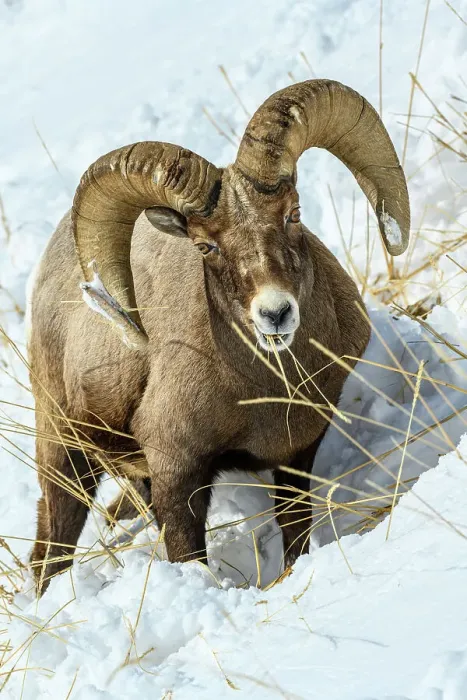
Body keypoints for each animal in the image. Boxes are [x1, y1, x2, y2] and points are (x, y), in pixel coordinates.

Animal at [28, 79, 410, 593]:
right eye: (205, 245)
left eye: (294, 213)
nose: (275, 313)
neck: (266, 390)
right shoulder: (177, 471)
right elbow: (188, 555)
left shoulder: (296, 456)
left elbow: (294, 534)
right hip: (64, 454)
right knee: (50, 552)